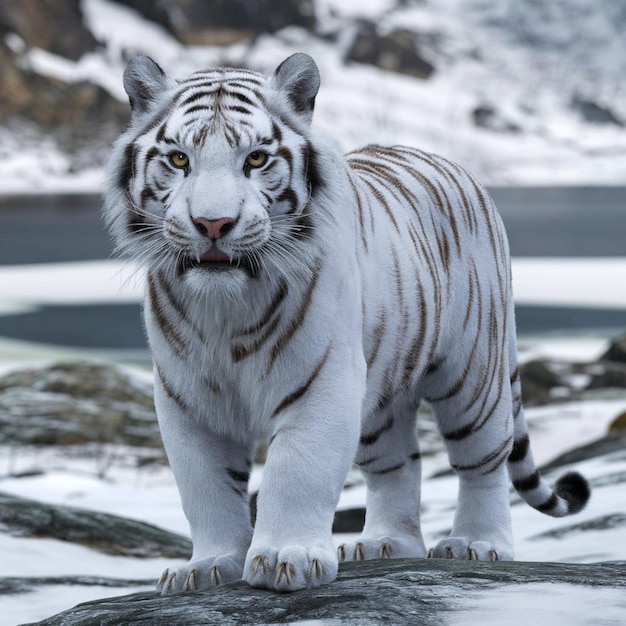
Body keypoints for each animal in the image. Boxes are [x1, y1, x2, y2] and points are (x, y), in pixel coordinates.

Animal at [105, 52, 588, 588]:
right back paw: (387, 544)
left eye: (256, 159)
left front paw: (285, 559)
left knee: (483, 462)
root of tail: (450, 163)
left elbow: (297, 472)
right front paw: (210, 566)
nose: (213, 224)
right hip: (382, 393)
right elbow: (205, 489)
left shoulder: (320, 381)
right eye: (179, 160)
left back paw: (477, 544)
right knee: (397, 464)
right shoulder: (187, 399)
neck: (225, 311)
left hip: (473, 375)